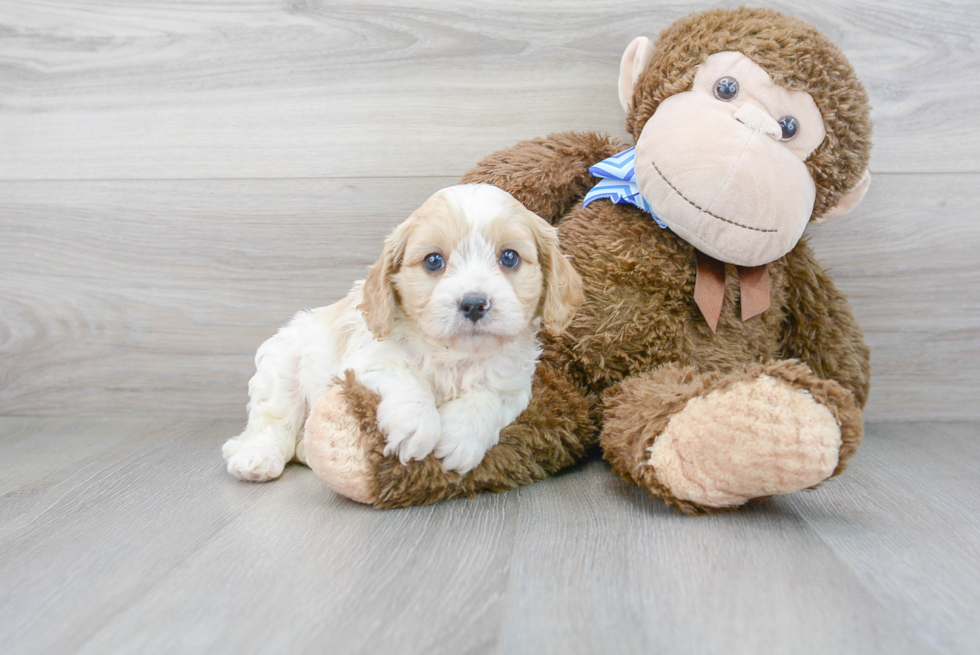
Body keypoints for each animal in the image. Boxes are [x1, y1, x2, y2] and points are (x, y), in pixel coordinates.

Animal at [222, 184, 580, 482]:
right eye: (433, 261)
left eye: (509, 257)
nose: (474, 304)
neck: (455, 355)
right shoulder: (367, 360)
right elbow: (408, 377)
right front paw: (415, 425)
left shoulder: (515, 387)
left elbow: (487, 397)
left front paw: (461, 436)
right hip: (280, 368)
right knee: (272, 423)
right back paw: (256, 458)